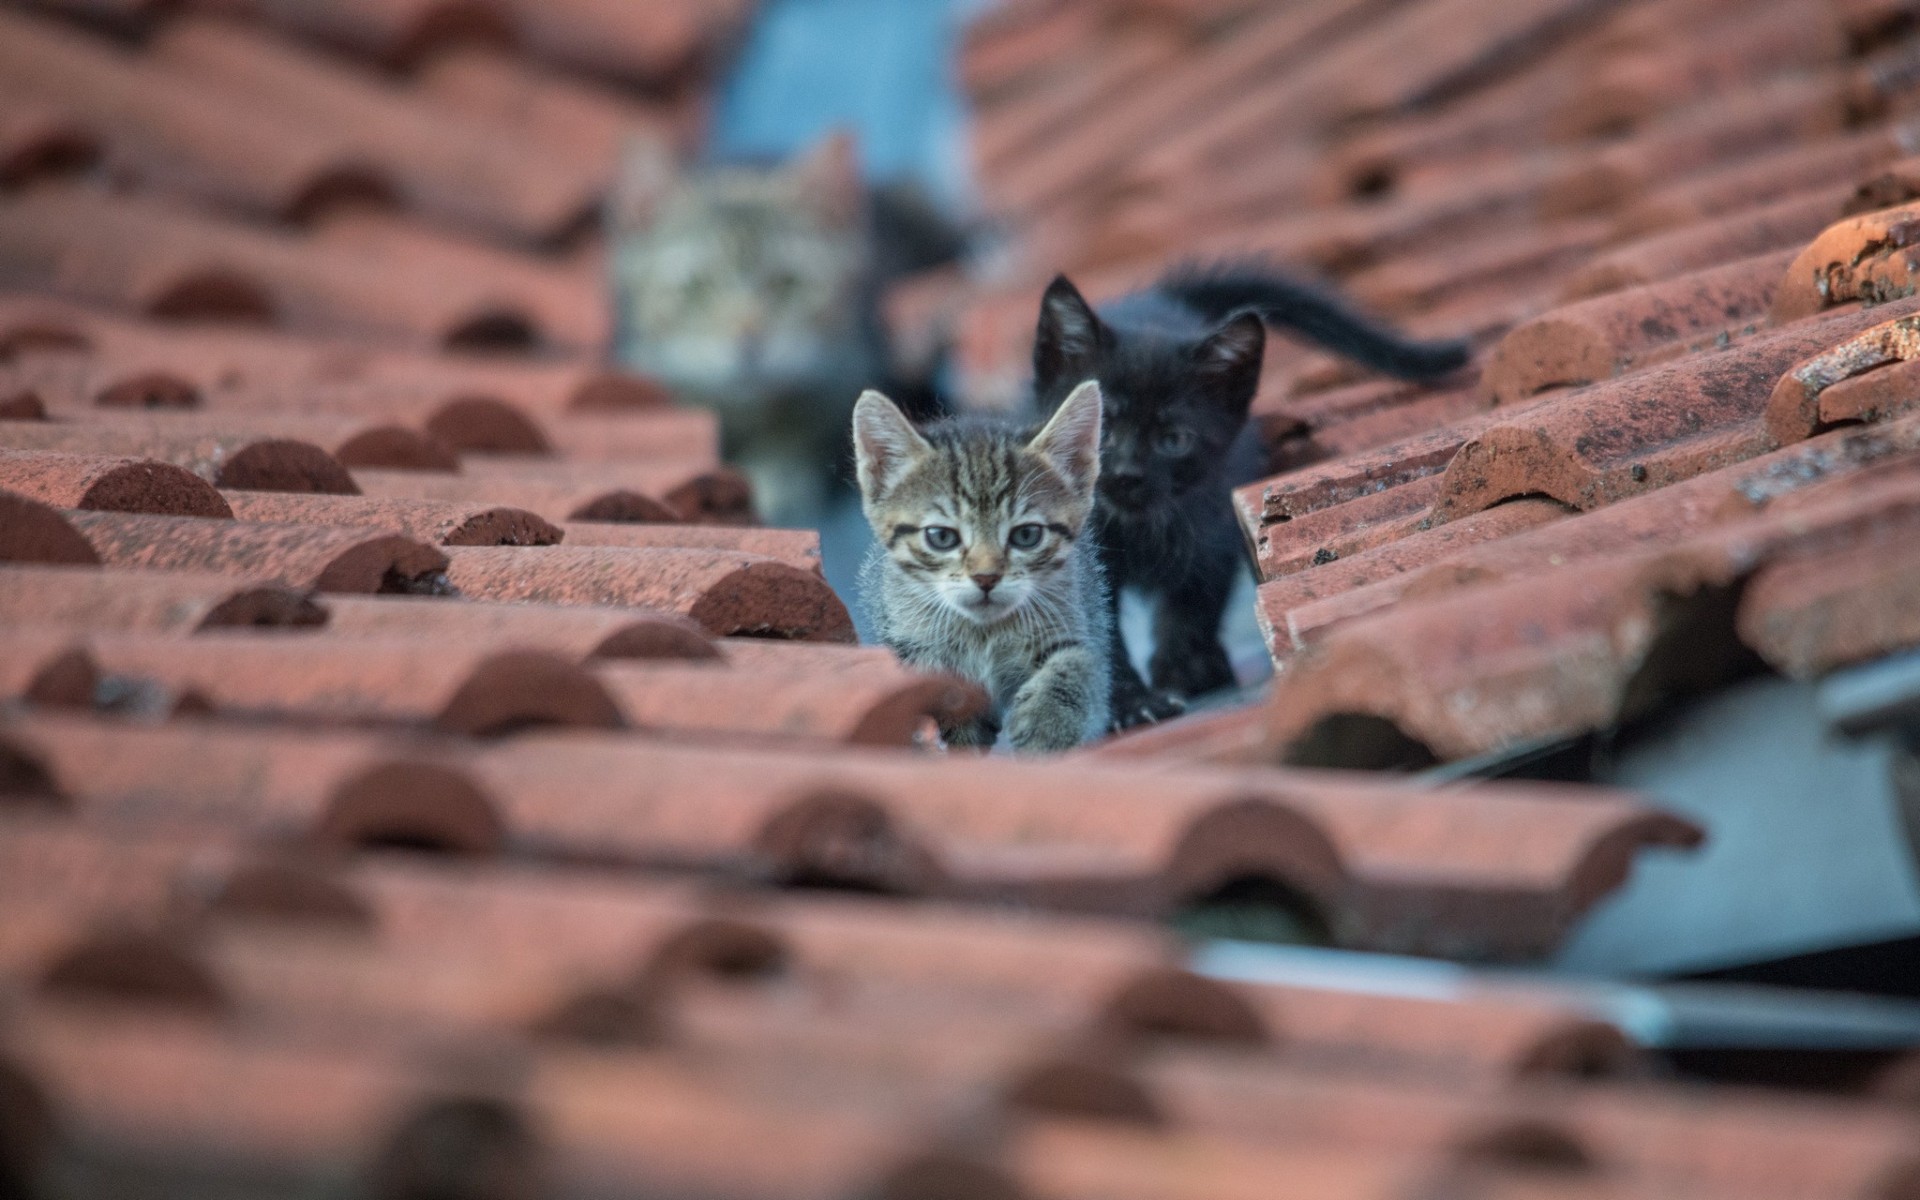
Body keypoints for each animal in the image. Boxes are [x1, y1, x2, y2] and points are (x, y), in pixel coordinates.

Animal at [856, 378, 1113, 748]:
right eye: (941, 537)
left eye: (1027, 535)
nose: (986, 577)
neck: (984, 632)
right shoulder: (907, 640)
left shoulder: (1074, 615)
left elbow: (1079, 664)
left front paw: (1048, 722)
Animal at [1036, 263, 1466, 729]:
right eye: (1102, 428)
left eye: (1173, 440)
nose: (1126, 475)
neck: (1136, 528)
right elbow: (1094, 628)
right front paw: (1132, 703)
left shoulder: (1217, 516)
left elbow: (1197, 595)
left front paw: (1186, 668)